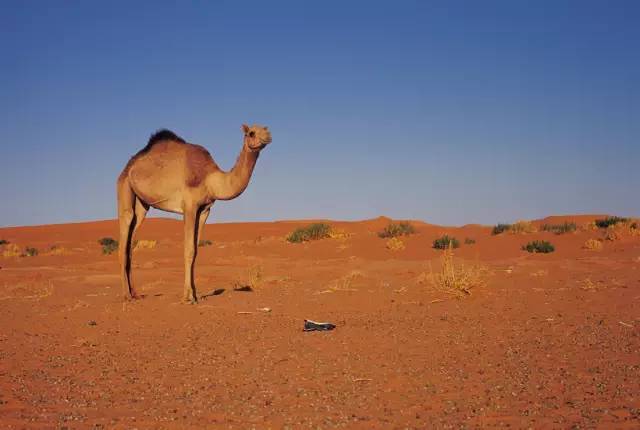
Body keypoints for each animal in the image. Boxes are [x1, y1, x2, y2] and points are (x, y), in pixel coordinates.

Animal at [116, 122, 272, 302]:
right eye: (251, 133)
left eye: (265, 129)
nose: (268, 136)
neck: (211, 179)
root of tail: (128, 166)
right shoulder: (189, 206)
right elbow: (189, 250)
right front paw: (187, 297)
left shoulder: (204, 210)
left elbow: (196, 251)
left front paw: (195, 294)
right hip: (124, 187)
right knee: (125, 232)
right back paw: (126, 295)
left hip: (142, 205)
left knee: (131, 241)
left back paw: (135, 293)